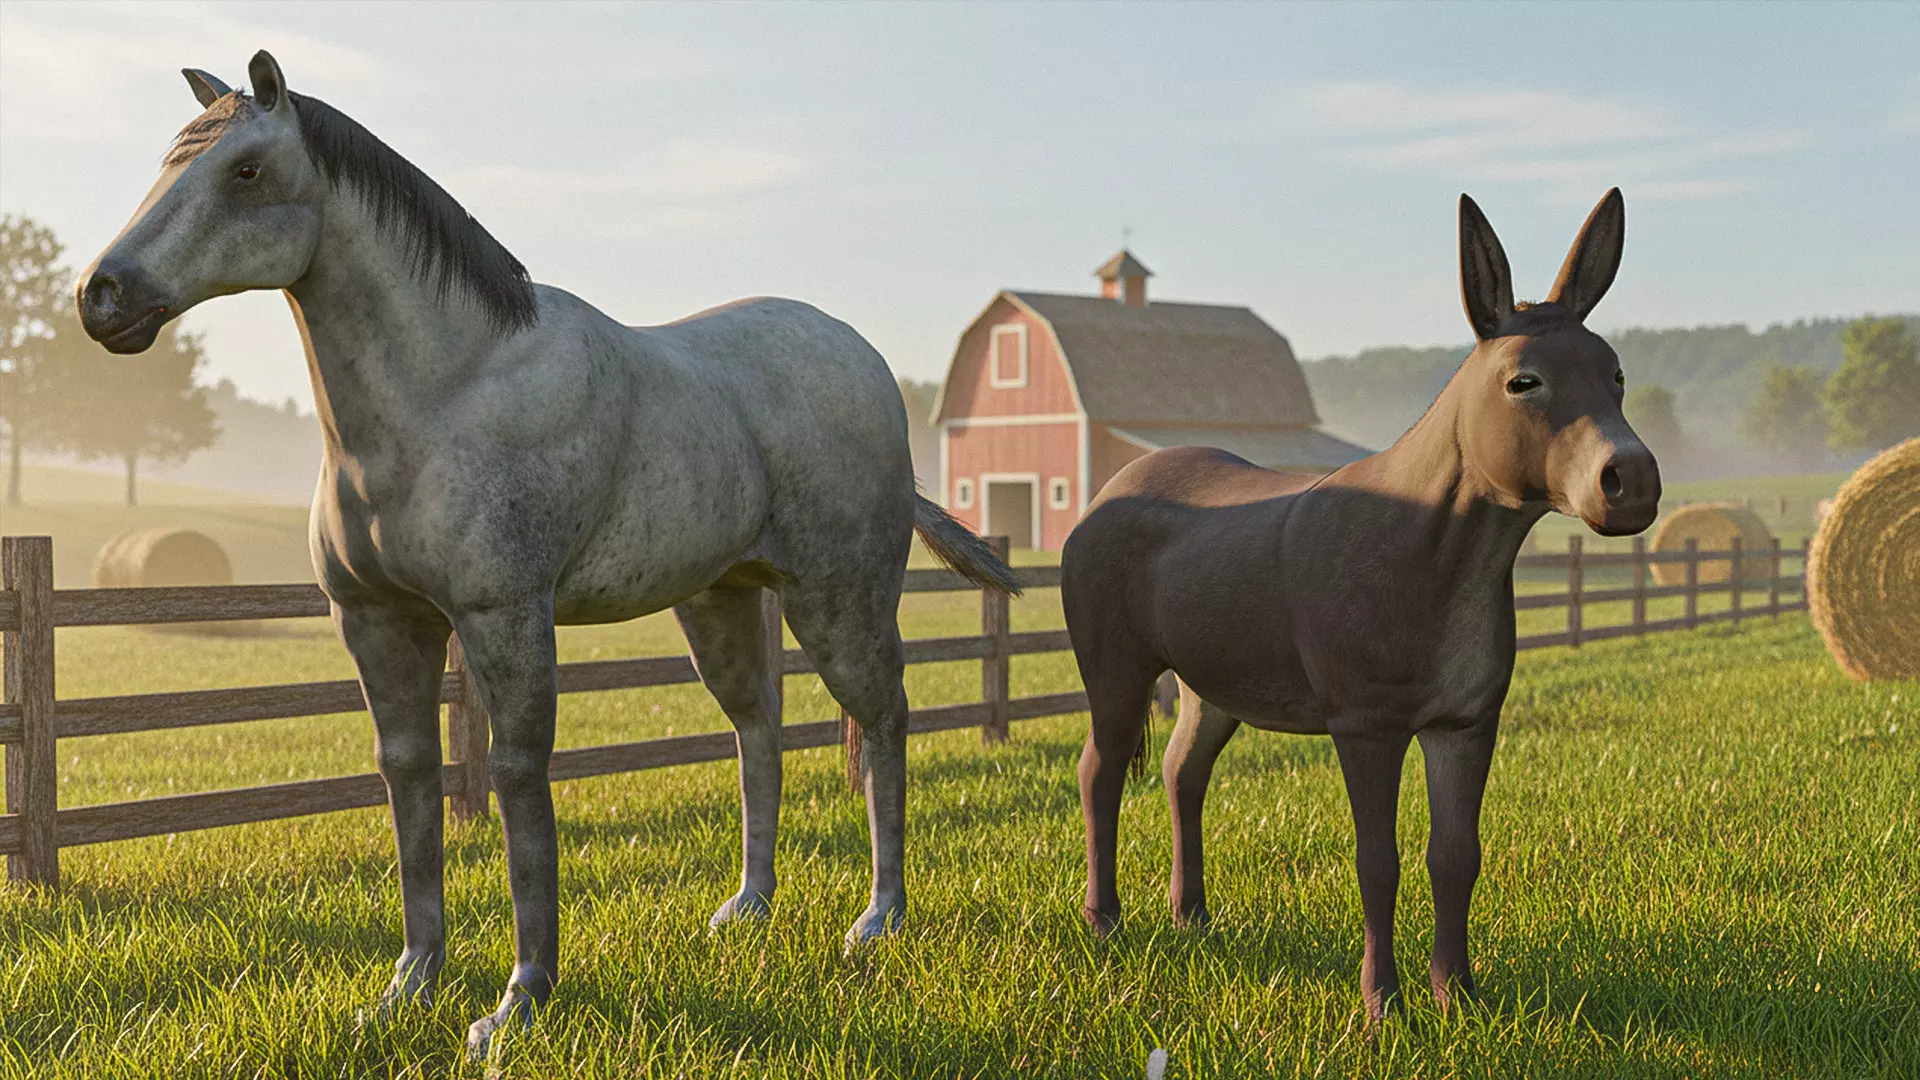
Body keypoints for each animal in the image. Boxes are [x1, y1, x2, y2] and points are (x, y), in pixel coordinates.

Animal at [76, 51, 1018, 1056]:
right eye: (169, 161)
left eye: (246, 170)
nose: (103, 295)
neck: (449, 390)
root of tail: (865, 363)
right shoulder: (378, 622)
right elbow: (410, 778)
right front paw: (408, 986)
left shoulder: (505, 618)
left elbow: (518, 781)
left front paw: (518, 1003)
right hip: (721, 600)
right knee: (757, 726)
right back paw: (748, 909)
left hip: (839, 599)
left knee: (882, 720)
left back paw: (878, 921)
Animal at [1059, 189, 1660, 1019]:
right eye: (1524, 382)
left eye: (1617, 374)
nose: (1630, 482)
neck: (1434, 553)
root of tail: (1109, 490)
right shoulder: (1366, 729)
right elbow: (1379, 860)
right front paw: (1383, 1006)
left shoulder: (1466, 724)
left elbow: (1456, 856)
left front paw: (1457, 995)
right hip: (1115, 673)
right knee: (1101, 771)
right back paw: (1105, 921)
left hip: (1210, 686)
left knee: (1183, 772)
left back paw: (1194, 919)